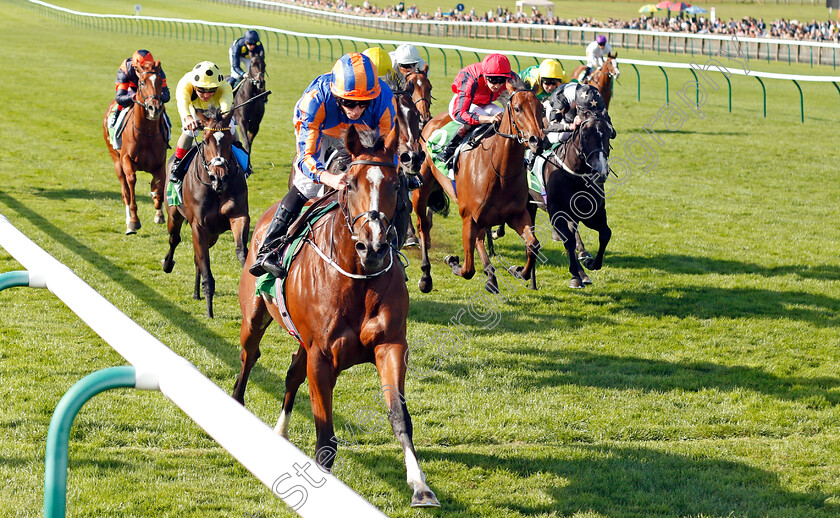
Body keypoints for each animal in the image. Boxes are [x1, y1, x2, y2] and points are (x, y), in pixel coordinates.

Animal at [102, 59, 167, 236]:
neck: (146, 133)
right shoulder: (126, 160)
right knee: (125, 191)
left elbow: (159, 186)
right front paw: (133, 221)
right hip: (116, 160)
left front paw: (159, 212)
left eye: (160, 82)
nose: (154, 108)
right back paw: (128, 220)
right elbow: (131, 183)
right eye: (142, 82)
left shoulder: (160, 163)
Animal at [231, 127, 436, 512]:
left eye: (395, 185)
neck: (357, 279)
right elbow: (325, 436)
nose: (373, 248)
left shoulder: (389, 346)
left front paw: (420, 486)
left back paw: (280, 433)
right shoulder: (322, 356)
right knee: (249, 358)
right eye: (350, 184)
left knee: (292, 373)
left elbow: (399, 417)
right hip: (255, 318)